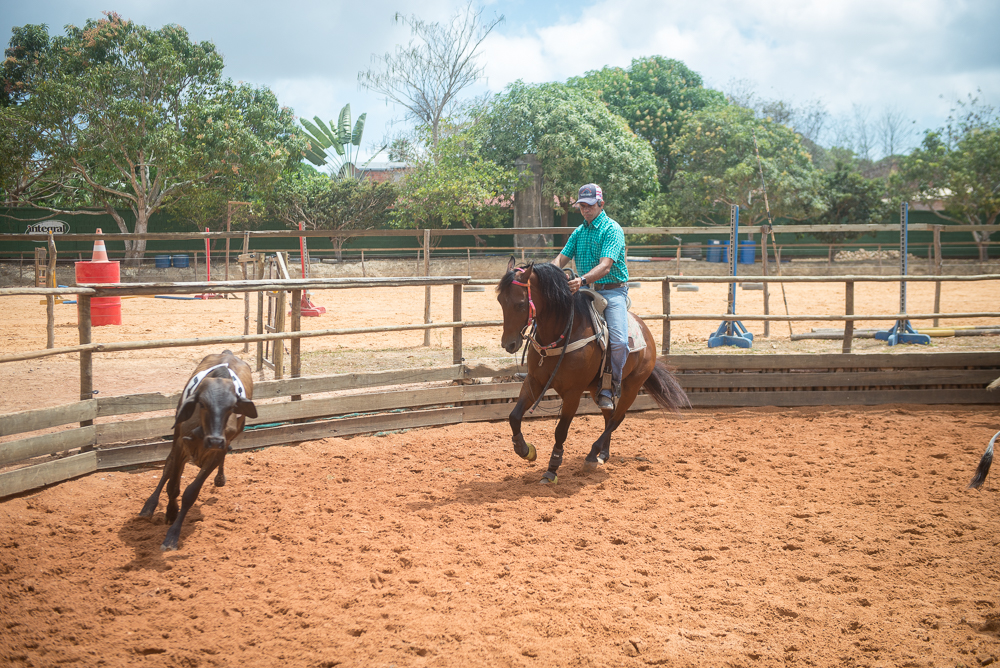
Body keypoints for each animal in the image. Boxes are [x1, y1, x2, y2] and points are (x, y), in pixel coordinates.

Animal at [498, 258, 692, 482]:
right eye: (500, 301)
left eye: (520, 303)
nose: (509, 344)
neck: (562, 333)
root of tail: (646, 332)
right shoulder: (534, 381)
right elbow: (514, 417)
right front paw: (525, 450)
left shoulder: (572, 393)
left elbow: (561, 431)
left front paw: (552, 468)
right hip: (597, 389)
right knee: (610, 414)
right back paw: (603, 454)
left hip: (632, 386)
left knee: (617, 418)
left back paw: (592, 455)